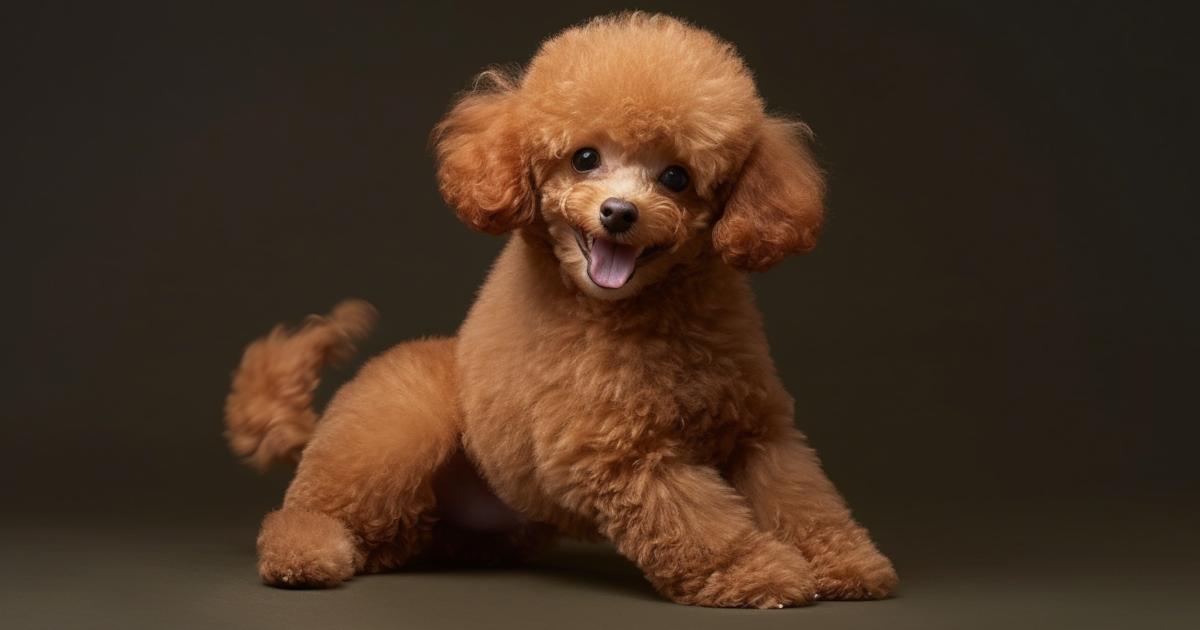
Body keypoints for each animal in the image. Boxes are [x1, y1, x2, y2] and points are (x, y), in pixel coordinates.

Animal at [226, 12, 902, 607]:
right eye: (584, 158)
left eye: (677, 177)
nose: (619, 212)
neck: (650, 314)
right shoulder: (617, 452)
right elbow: (699, 523)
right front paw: (759, 573)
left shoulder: (759, 431)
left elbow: (804, 499)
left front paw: (847, 565)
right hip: (397, 430)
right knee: (306, 511)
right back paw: (305, 555)